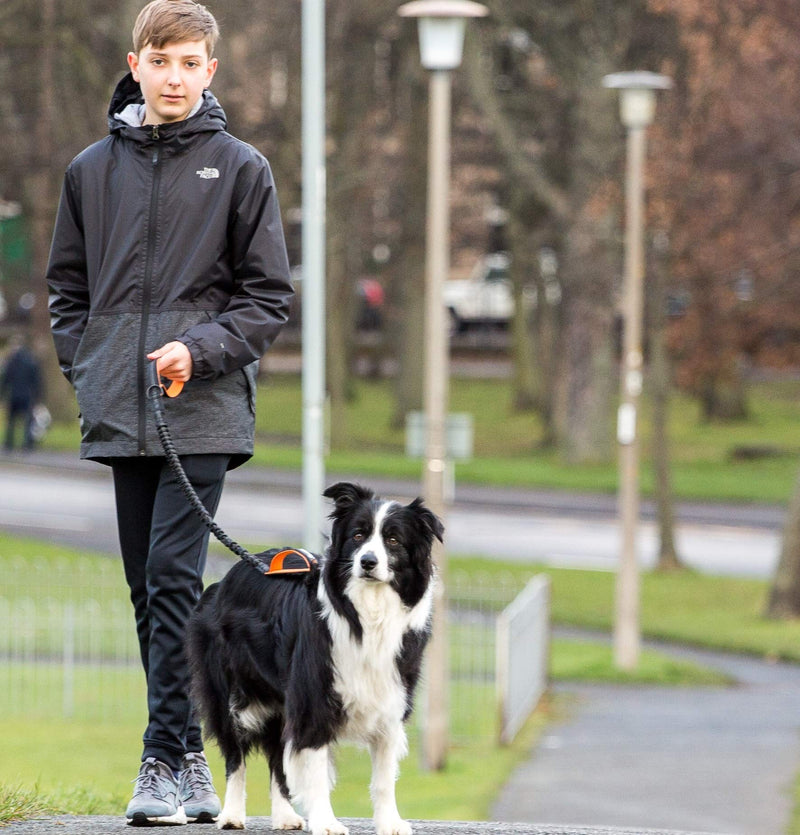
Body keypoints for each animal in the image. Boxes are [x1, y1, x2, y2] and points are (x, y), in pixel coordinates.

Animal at [189, 480, 444, 832]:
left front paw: (390, 823)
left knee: (277, 757)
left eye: (394, 540)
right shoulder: (313, 702)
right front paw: (326, 823)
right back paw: (232, 815)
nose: (367, 562)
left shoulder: (390, 702)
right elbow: (315, 772)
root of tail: (230, 575)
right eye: (358, 535)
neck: (368, 613)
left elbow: (382, 779)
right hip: (231, 694)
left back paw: (285, 816)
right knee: (235, 755)